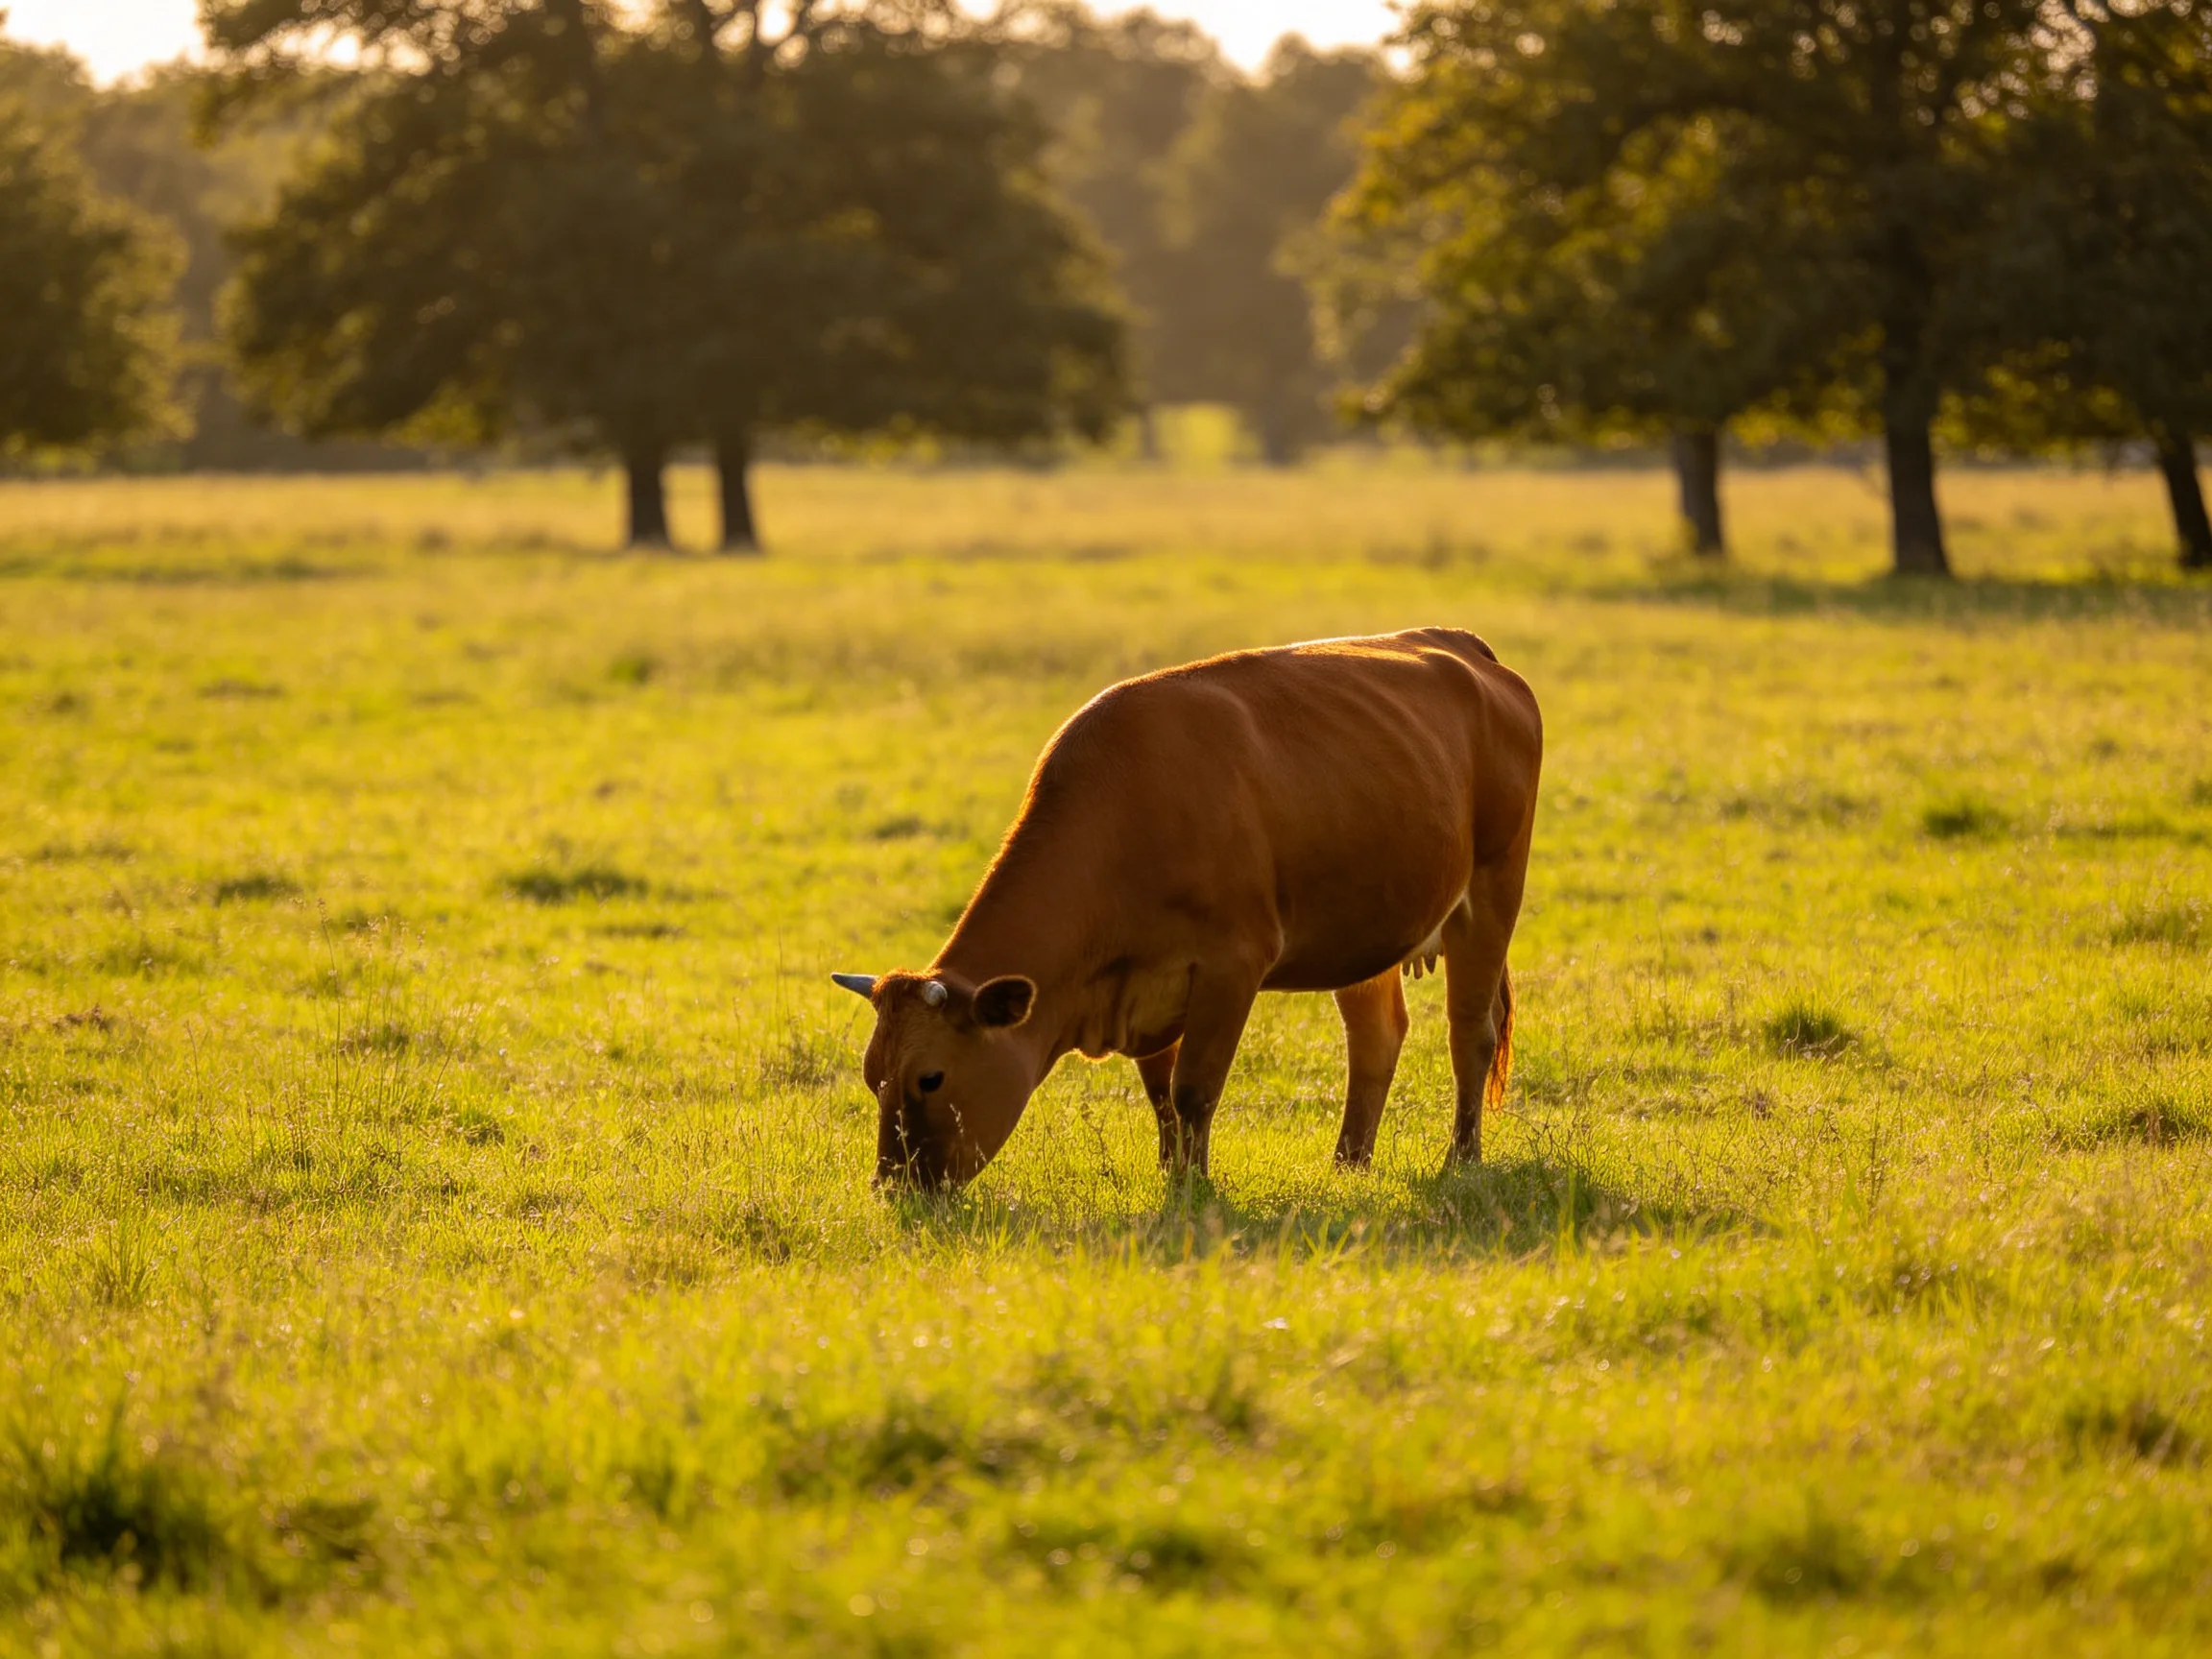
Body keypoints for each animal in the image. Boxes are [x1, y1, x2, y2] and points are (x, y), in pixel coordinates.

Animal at [832, 627, 1542, 1189]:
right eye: (872, 1077)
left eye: (931, 1078)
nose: (892, 1188)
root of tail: (1458, 645)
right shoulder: (1143, 987)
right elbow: (1161, 1096)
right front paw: (1173, 1174)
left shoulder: (1234, 965)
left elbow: (1195, 1088)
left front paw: (1193, 1187)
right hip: (1365, 928)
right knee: (1376, 1039)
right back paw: (1348, 1164)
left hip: (1493, 889)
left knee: (1470, 1032)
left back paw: (1460, 1160)